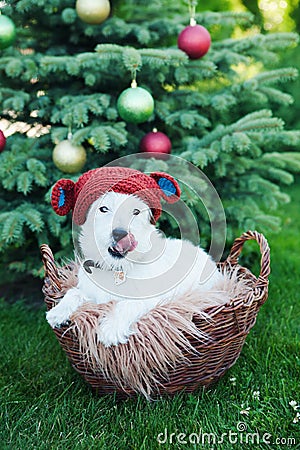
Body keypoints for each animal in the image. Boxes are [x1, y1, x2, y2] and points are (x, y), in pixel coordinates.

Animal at [47, 188, 224, 346]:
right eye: (103, 209)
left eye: (136, 212)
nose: (120, 234)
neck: (117, 268)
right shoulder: (93, 294)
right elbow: (73, 292)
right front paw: (58, 312)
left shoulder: (150, 298)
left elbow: (127, 305)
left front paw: (111, 329)